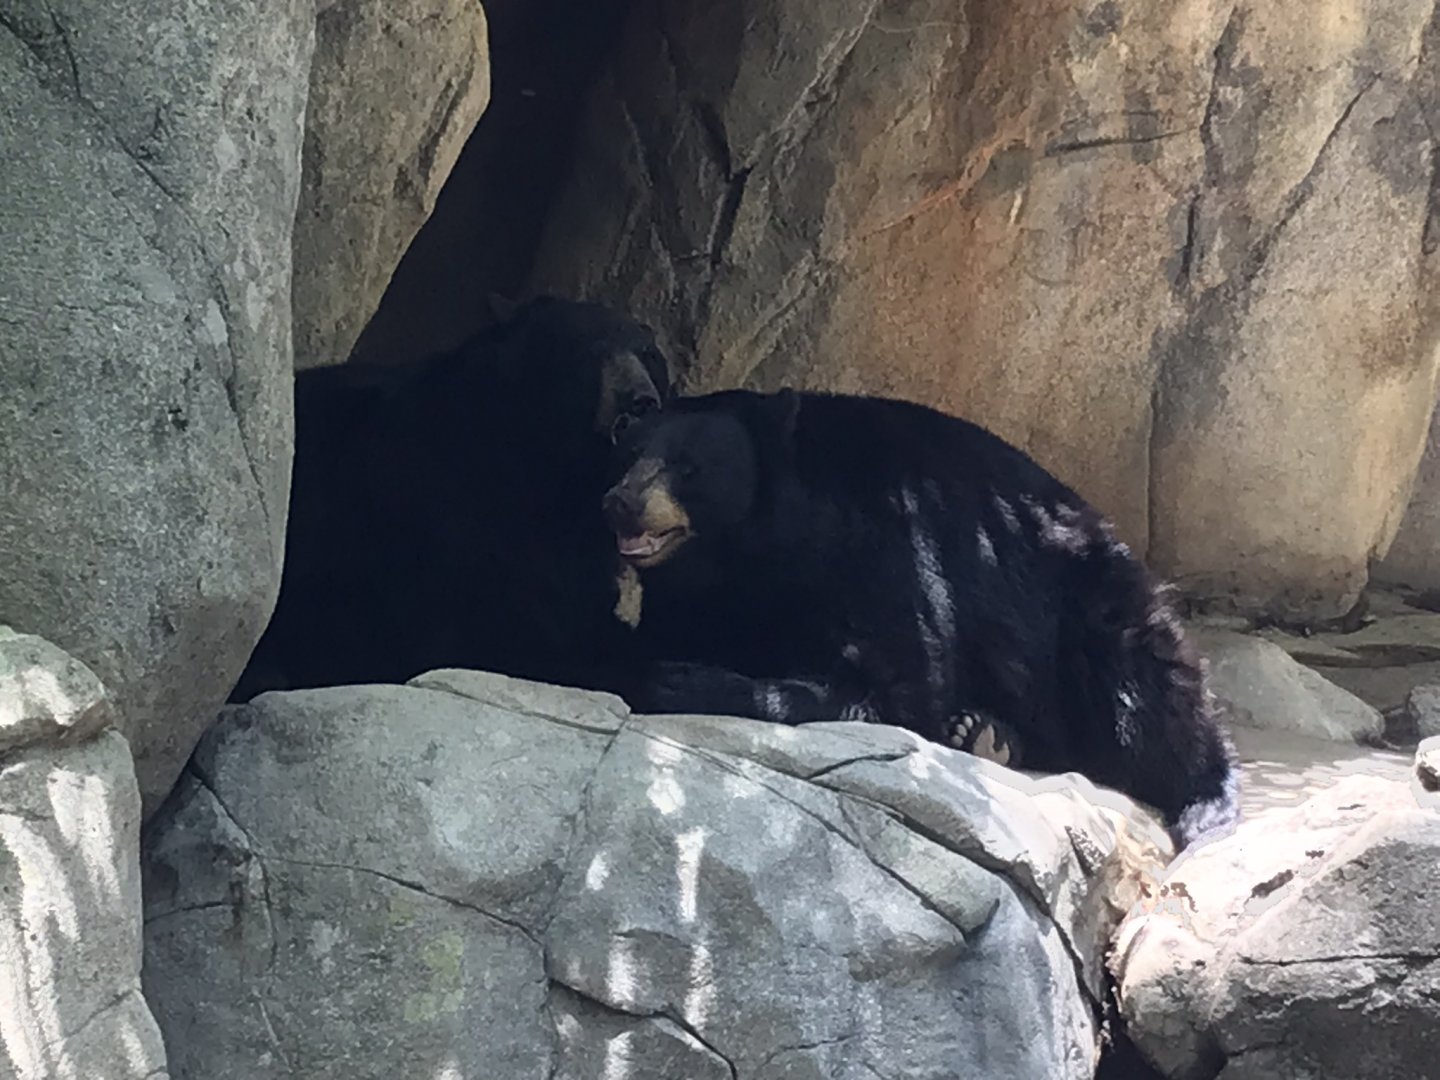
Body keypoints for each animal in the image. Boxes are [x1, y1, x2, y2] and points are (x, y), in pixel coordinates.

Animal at [601, 387, 1240, 850]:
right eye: (630, 455)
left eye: (687, 467)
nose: (621, 502)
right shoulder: (703, 598)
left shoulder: (887, 554)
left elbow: (896, 680)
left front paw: (683, 680)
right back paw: (984, 732)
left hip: (1085, 602)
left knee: (1145, 685)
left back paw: (1206, 802)